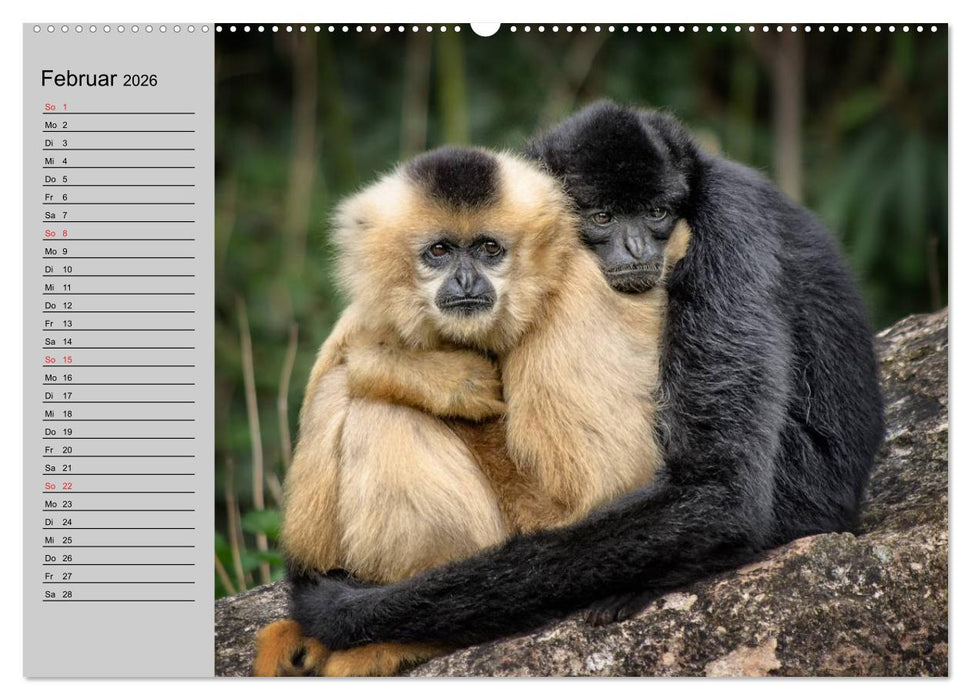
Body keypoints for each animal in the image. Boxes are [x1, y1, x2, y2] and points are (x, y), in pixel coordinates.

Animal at [253, 145, 691, 676]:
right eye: (440, 251)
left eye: (488, 249)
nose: (465, 278)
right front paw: (440, 374)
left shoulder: (577, 302)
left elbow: (594, 495)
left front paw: (408, 367)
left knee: (374, 408)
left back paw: (401, 640)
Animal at [288, 100, 885, 659]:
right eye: (601, 215)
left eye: (656, 212)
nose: (636, 248)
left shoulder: (730, 226)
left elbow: (719, 492)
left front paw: (340, 610)